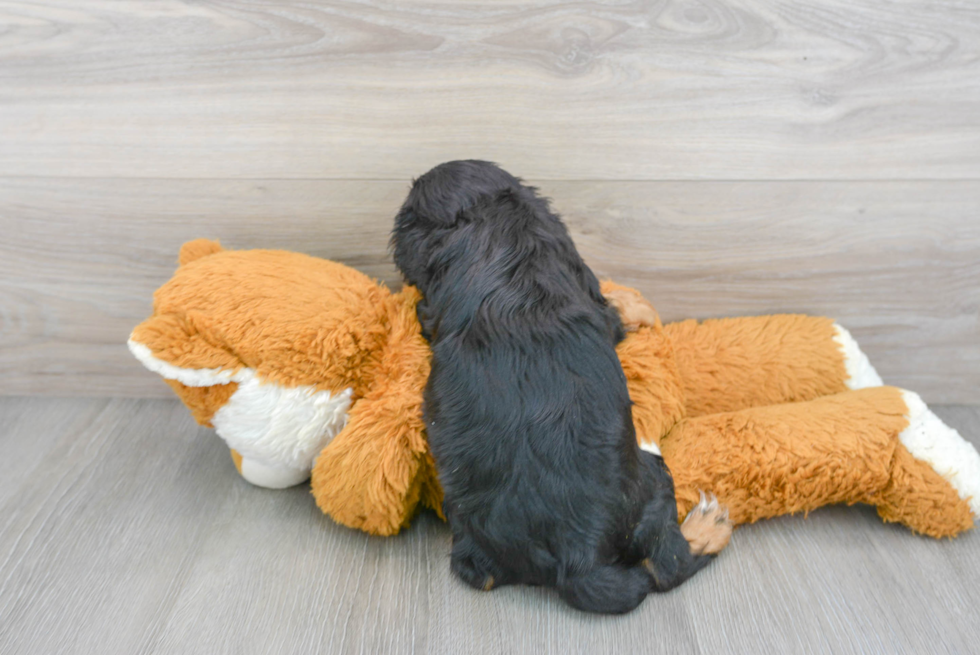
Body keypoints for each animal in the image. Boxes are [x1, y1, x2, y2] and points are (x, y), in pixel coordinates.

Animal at [390, 161, 720, 612]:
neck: (492, 229)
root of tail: (578, 559)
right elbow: (612, 310)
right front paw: (638, 307)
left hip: (472, 542)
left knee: (478, 573)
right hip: (654, 485)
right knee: (666, 565)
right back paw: (707, 527)